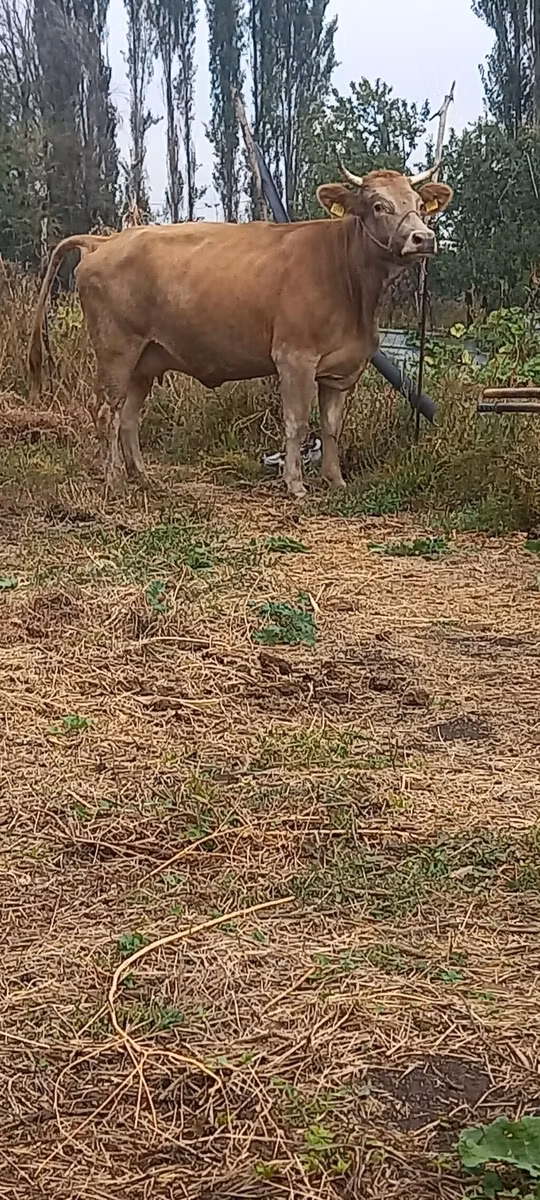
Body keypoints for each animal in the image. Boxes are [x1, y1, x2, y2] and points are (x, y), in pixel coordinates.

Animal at [28, 165, 452, 498]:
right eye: (378, 205)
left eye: (418, 204)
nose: (423, 238)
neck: (349, 281)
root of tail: (106, 239)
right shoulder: (294, 357)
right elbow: (297, 422)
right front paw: (295, 484)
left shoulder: (344, 369)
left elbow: (331, 427)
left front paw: (335, 481)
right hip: (117, 350)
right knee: (106, 412)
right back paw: (114, 480)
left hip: (144, 359)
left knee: (129, 416)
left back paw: (144, 478)